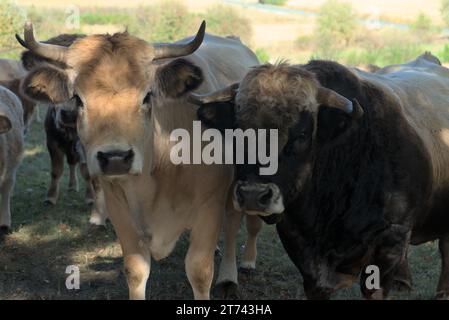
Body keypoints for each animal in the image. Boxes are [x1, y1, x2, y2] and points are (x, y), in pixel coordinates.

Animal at [17, 21, 260, 298]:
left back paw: (230, 274)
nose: (115, 157)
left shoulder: (210, 205)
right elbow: (135, 271)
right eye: (78, 98)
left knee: (231, 227)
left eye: (147, 96)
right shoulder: (120, 210)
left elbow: (199, 271)